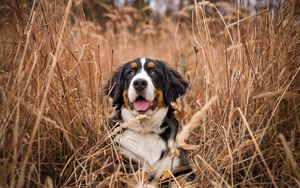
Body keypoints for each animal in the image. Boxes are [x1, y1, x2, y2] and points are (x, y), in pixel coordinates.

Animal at [105, 57, 195, 187]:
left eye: (154, 72)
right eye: (130, 73)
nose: (139, 83)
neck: (145, 129)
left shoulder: (181, 167)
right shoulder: (124, 164)